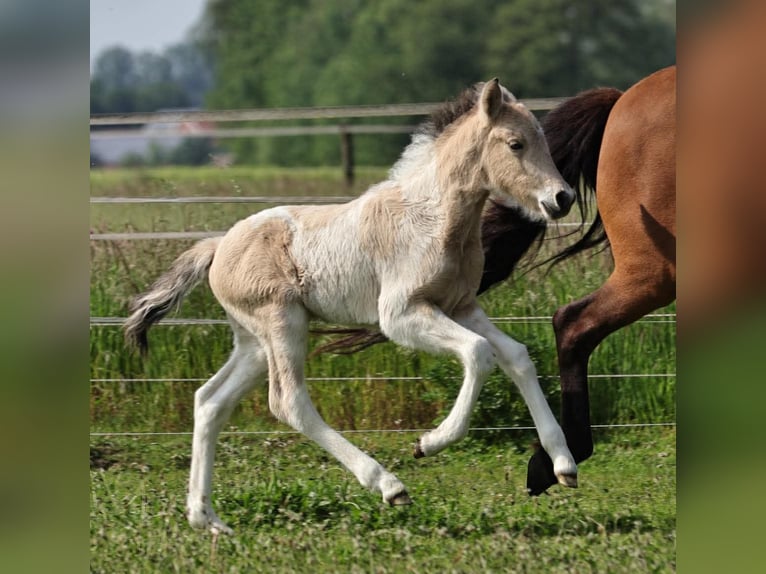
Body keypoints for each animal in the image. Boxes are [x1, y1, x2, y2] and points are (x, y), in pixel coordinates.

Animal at [123, 79, 579, 534]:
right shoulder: (400, 315)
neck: (432, 217)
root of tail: (217, 247)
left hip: (253, 342)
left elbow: (516, 356)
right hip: (282, 323)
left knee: (210, 401)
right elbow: (479, 353)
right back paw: (389, 485)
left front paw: (564, 465)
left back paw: (206, 518)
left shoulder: (462, 306)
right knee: (287, 401)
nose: (562, 198)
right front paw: (429, 442)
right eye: (516, 144)